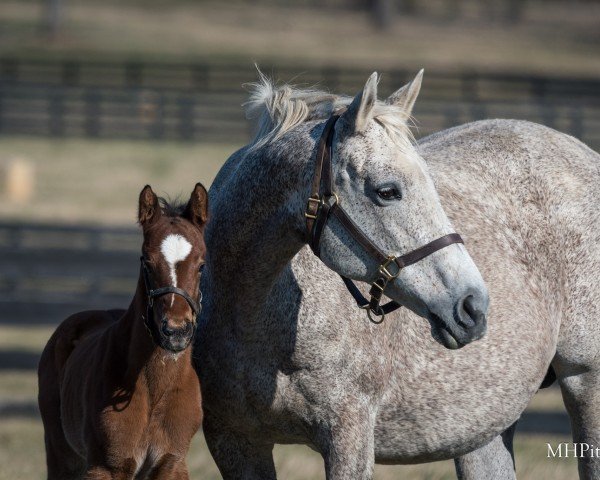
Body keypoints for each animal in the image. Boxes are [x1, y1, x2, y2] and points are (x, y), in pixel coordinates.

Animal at [38, 185, 209, 480]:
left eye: (201, 265)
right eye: (147, 262)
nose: (176, 332)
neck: (154, 391)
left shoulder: (172, 463)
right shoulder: (106, 467)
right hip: (62, 455)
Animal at [196, 72, 600, 480]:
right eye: (387, 191)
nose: (473, 305)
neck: (248, 314)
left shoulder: (349, 435)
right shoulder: (234, 441)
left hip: (586, 385)